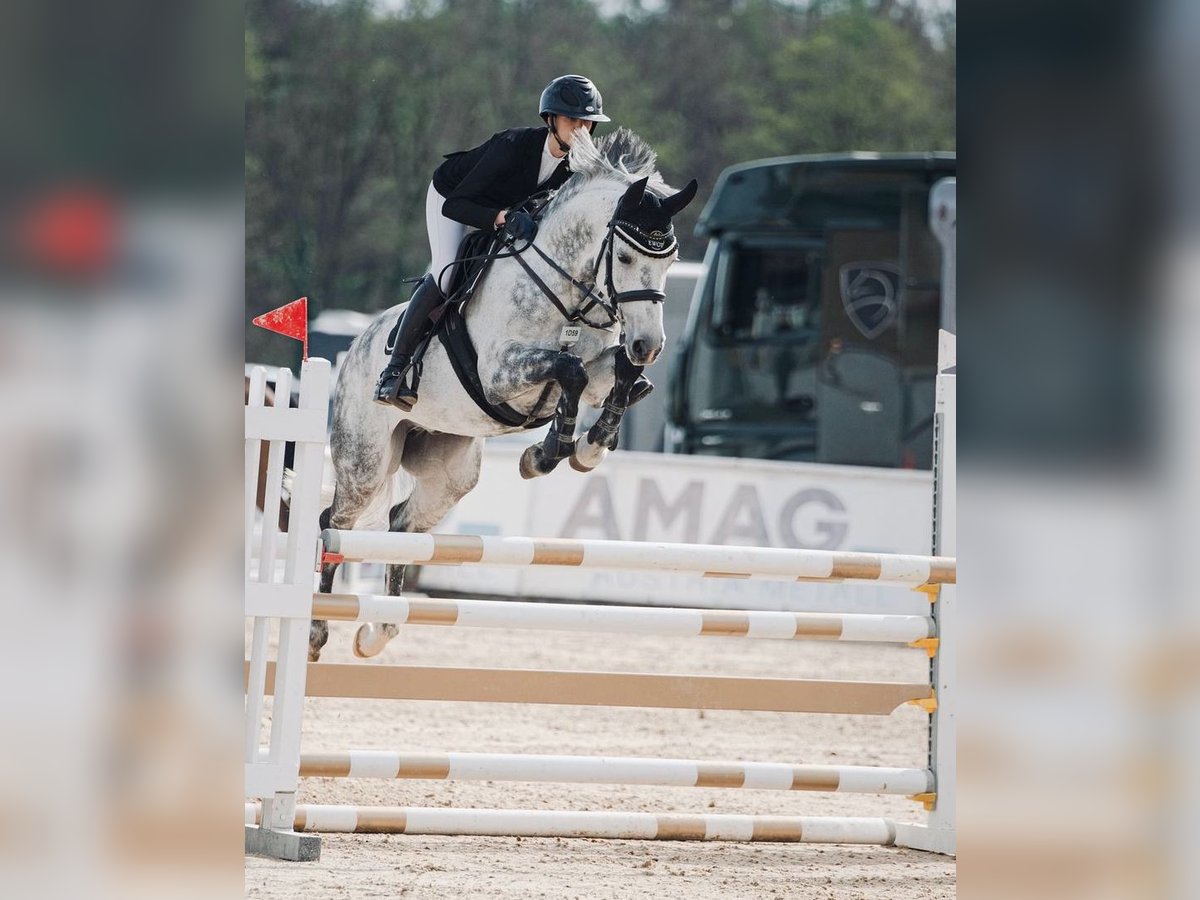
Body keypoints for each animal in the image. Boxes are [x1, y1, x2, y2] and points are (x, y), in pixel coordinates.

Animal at [309, 127, 700, 662]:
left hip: (451, 471)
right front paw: (549, 452)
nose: (650, 345)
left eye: (672, 259)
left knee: (403, 525)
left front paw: (587, 447)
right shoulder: (500, 373)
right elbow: (570, 371)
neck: (568, 293)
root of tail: (355, 348)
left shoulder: (596, 369)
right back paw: (316, 631)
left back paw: (377, 631)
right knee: (335, 522)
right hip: (365, 460)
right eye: (623, 257)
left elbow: (622, 376)